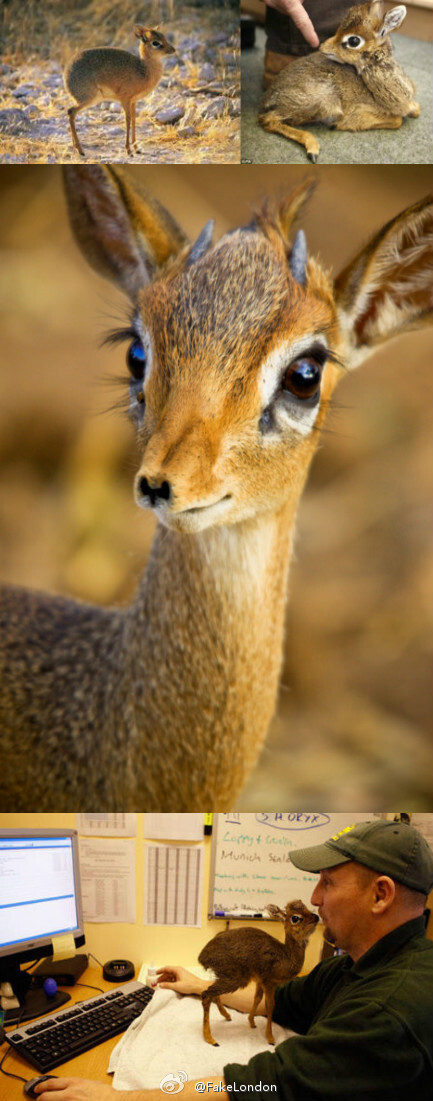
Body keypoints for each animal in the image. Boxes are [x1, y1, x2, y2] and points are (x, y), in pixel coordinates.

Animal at [65, 25, 172, 157]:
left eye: (164, 37)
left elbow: (134, 120)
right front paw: (128, 150)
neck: (144, 70)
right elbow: (127, 120)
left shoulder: (133, 101)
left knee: (71, 113)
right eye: (155, 42)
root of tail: (66, 74)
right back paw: (80, 150)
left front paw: (136, 148)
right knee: (70, 111)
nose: (173, 50)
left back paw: (76, 147)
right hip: (89, 99)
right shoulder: (125, 100)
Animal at [198, 898, 317, 1043]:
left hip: (226, 977)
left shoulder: (260, 981)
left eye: (308, 909)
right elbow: (270, 1005)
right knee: (206, 995)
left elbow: (257, 998)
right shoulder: (269, 982)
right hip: (235, 978)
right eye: (295, 918)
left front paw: (251, 1021)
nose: (316, 917)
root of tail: (203, 956)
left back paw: (227, 1016)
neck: (286, 956)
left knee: (212, 992)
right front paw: (270, 1037)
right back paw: (210, 1038)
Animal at [257, 0, 420, 161]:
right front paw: (339, 125)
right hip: (318, 102)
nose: (323, 47)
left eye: (354, 40)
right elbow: (398, 121)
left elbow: (415, 110)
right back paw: (312, 148)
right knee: (267, 120)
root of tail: (268, 98)